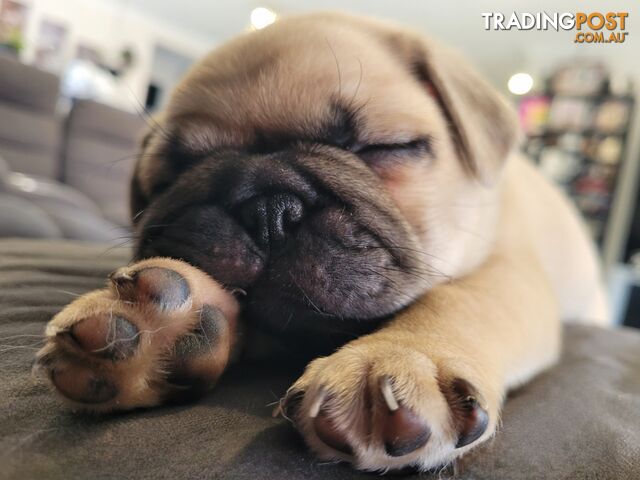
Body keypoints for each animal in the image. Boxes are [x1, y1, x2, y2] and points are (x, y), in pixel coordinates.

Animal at [33, 11, 604, 472]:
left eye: (386, 147)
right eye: (174, 171)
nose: (267, 208)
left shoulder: (513, 272)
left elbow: (463, 299)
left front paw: (401, 357)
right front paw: (155, 327)